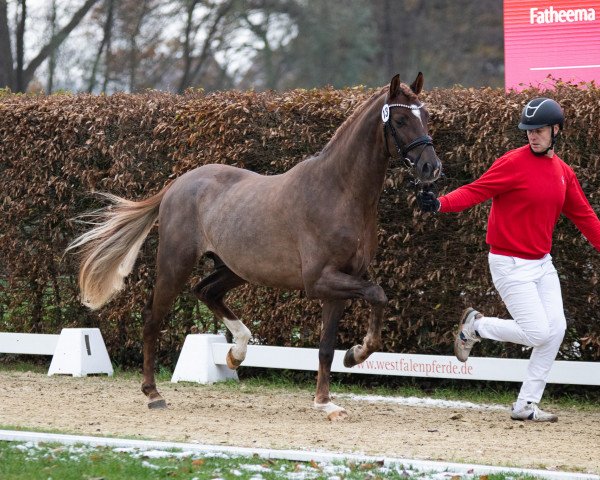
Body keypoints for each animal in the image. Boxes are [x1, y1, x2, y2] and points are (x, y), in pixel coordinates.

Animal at [68, 73, 440, 422]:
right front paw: (355, 356)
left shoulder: (339, 286)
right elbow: (377, 294)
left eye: (425, 116)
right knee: (153, 318)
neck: (339, 191)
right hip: (176, 263)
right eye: (401, 120)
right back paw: (153, 394)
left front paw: (328, 397)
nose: (431, 168)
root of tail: (177, 184)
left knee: (206, 292)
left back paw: (237, 353)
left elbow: (326, 347)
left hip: (234, 268)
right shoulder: (321, 281)